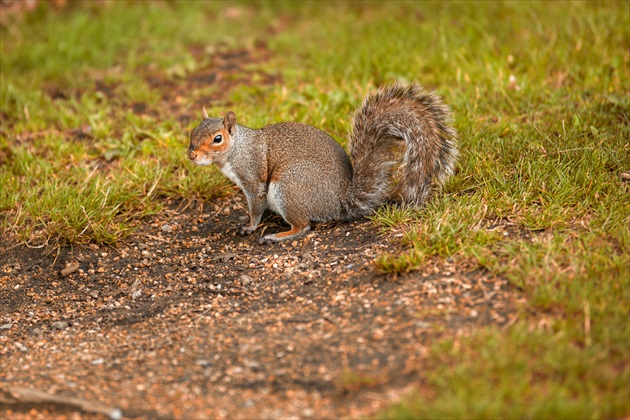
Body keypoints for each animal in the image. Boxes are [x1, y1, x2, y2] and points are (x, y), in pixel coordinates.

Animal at [188, 82, 460, 243]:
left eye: (217, 139)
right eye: (192, 132)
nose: (191, 155)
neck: (236, 150)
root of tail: (339, 202)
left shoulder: (253, 177)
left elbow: (256, 205)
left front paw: (251, 226)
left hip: (290, 186)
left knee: (304, 226)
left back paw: (279, 235)